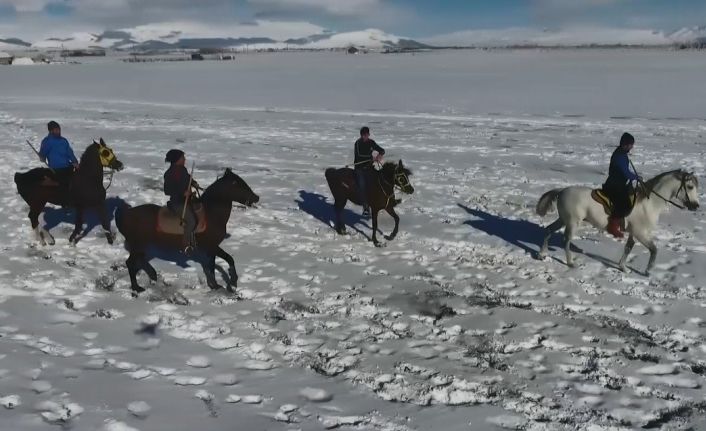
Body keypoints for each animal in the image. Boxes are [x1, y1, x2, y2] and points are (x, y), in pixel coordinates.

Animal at [115, 168, 259, 294]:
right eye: (238, 185)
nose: (256, 198)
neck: (211, 214)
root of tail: (125, 215)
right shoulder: (212, 246)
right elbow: (229, 259)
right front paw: (232, 283)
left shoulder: (211, 249)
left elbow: (212, 266)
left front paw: (215, 285)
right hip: (138, 246)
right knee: (130, 263)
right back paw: (137, 288)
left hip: (140, 246)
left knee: (139, 261)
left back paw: (152, 275)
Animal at [536, 170, 700, 274]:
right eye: (690, 187)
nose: (696, 206)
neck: (650, 203)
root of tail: (562, 191)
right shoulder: (640, 233)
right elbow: (654, 250)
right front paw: (647, 271)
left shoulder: (633, 233)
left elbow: (628, 248)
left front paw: (623, 268)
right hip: (572, 222)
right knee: (566, 240)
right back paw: (570, 263)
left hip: (563, 220)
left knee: (548, 230)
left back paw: (542, 255)